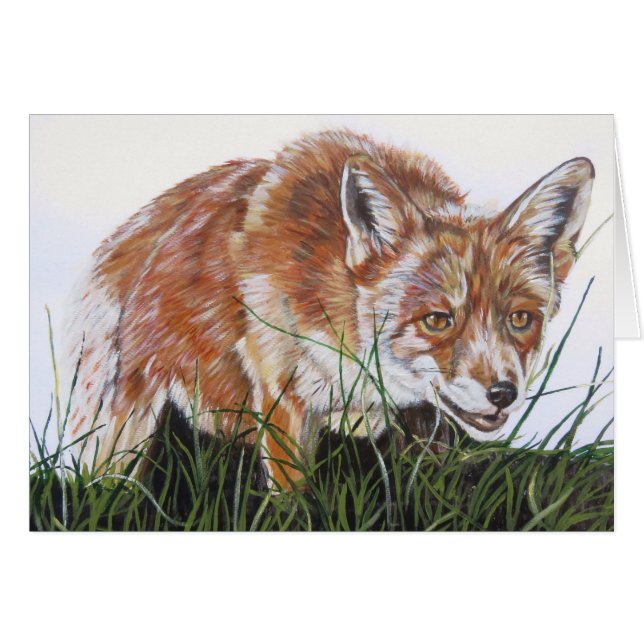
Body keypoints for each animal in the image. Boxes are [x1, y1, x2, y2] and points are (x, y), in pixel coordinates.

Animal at [63, 129, 594, 490]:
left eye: (520, 319)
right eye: (437, 320)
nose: (503, 393)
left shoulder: (422, 419)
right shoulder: (283, 398)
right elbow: (293, 503)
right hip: (127, 412)